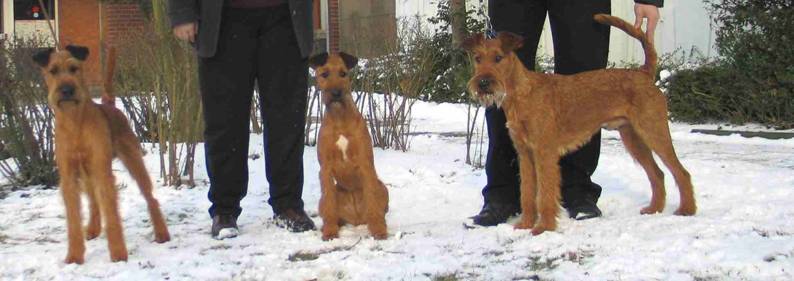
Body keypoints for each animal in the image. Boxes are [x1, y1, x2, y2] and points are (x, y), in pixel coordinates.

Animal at [33, 44, 169, 262]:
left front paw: (118, 254)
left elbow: (112, 216)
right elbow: (73, 220)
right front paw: (74, 256)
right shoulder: (69, 179)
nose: (67, 90)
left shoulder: (103, 172)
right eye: (52, 71)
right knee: (94, 202)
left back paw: (162, 233)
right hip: (88, 175)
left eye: (74, 68)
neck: (75, 123)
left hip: (133, 161)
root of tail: (110, 105)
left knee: (150, 198)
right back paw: (92, 229)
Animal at [460, 15, 696, 234]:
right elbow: (527, 192)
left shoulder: (544, 153)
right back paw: (654, 208)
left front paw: (543, 227)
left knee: (681, 172)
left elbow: (545, 193)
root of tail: (644, 73)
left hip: (654, 131)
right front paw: (525, 224)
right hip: (633, 138)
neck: (522, 94)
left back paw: (687, 210)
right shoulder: (525, 154)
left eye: (498, 57)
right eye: (478, 58)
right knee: (657, 173)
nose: (483, 83)